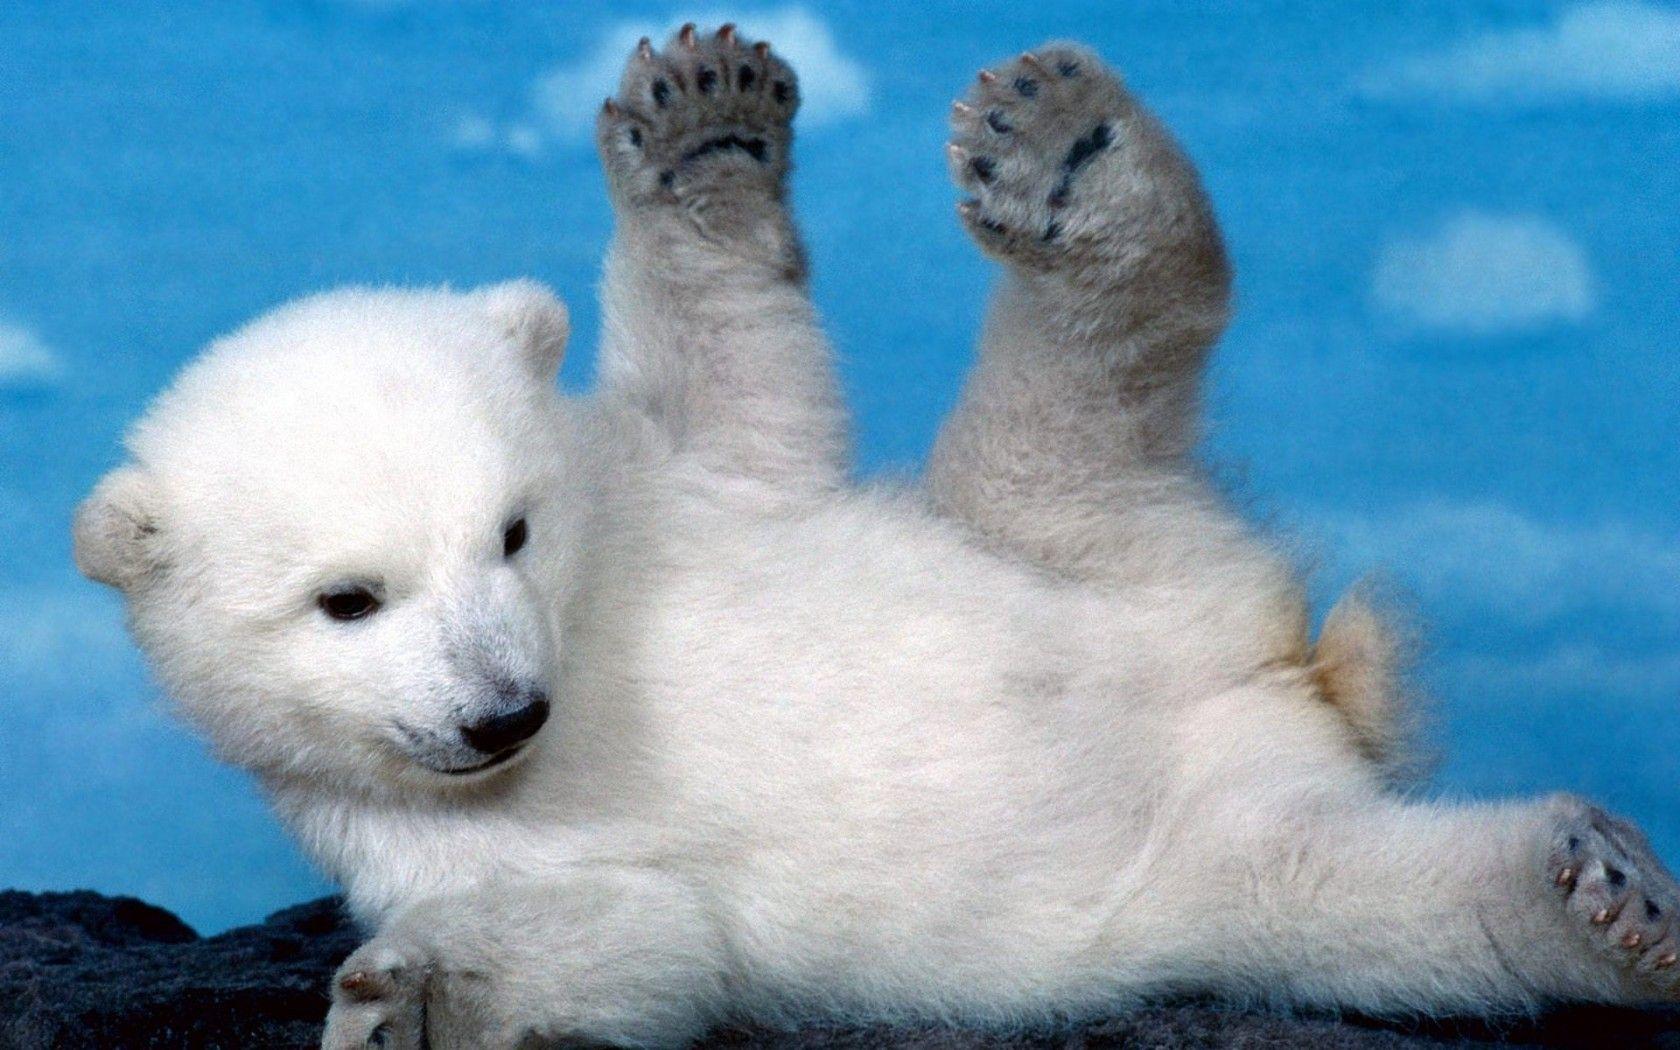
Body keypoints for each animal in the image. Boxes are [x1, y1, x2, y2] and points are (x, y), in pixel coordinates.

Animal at [73, 27, 1679, 1050]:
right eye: (347, 600)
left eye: (514, 532)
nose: (505, 711)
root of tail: (1277, 676)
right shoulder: (417, 829)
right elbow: (635, 936)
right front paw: (410, 999)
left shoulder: (683, 494)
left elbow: (742, 385)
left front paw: (703, 123)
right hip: (1205, 854)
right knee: (1384, 910)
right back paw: (1596, 894)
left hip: (1058, 541)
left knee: (1089, 372)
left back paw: (1068, 151)